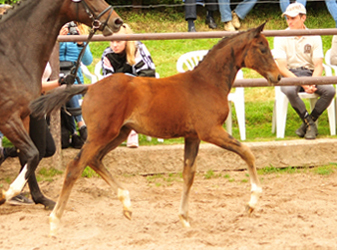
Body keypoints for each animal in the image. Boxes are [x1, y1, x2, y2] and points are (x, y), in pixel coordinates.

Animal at [0, 0, 121, 209]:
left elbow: (28, 156)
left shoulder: (23, 116)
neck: (12, 56)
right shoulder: (7, 118)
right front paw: (7, 193)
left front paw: (40, 198)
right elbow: (32, 154)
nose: (116, 21)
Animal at [30, 22, 280, 235]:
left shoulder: (192, 136)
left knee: (95, 160)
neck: (207, 83)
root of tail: (90, 87)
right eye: (262, 48)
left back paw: (126, 204)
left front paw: (184, 218)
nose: (277, 76)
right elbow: (247, 153)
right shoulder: (210, 131)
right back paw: (55, 220)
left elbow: (188, 173)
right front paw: (252, 203)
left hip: (117, 133)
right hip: (102, 134)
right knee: (76, 166)